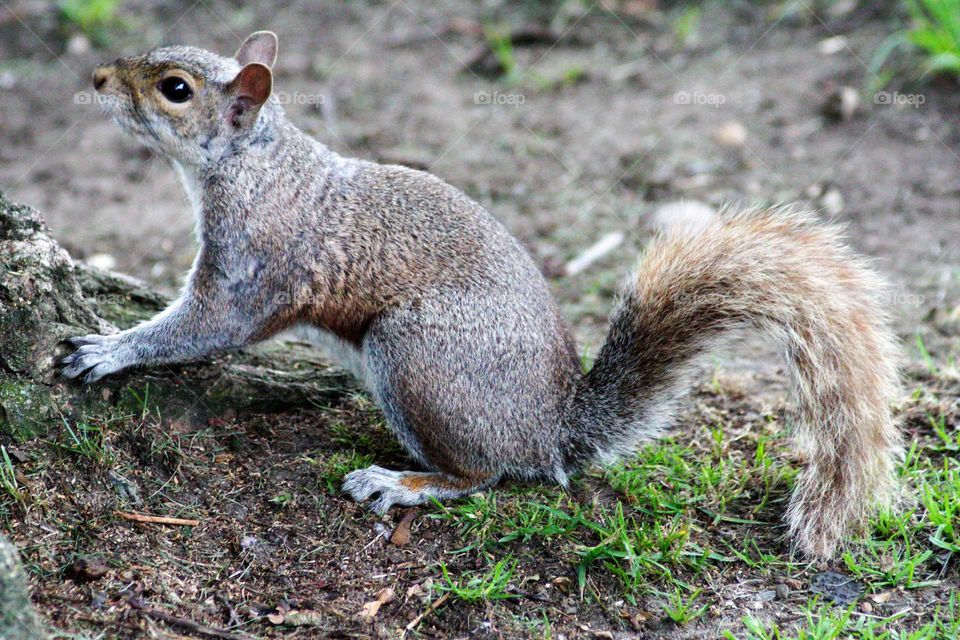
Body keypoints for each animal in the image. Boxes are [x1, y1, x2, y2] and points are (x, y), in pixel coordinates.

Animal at [59, 31, 902, 559]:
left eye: (174, 90)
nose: (96, 79)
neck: (257, 161)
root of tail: (552, 427)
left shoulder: (256, 262)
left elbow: (206, 326)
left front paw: (111, 348)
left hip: (415, 358)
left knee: (486, 474)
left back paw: (401, 481)